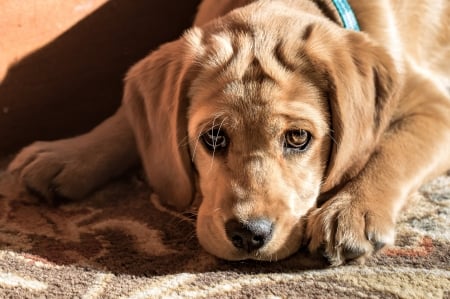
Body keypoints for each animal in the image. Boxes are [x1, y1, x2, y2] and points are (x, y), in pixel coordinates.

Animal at [7, 0, 450, 268]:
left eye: (298, 139)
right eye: (213, 139)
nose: (249, 235)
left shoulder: (437, 103)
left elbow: (393, 149)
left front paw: (352, 210)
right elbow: (128, 120)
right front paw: (67, 155)